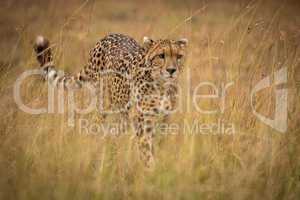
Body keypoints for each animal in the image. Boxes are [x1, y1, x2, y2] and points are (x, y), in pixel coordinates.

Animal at [33, 33, 188, 168]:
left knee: (115, 132)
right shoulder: (143, 121)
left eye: (179, 56)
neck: (161, 85)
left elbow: (158, 144)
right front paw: (151, 169)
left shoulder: (164, 119)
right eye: (161, 56)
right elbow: (146, 149)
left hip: (122, 115)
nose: (172, 70)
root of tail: (106, 37)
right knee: (96, 127)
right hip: (103, 107)